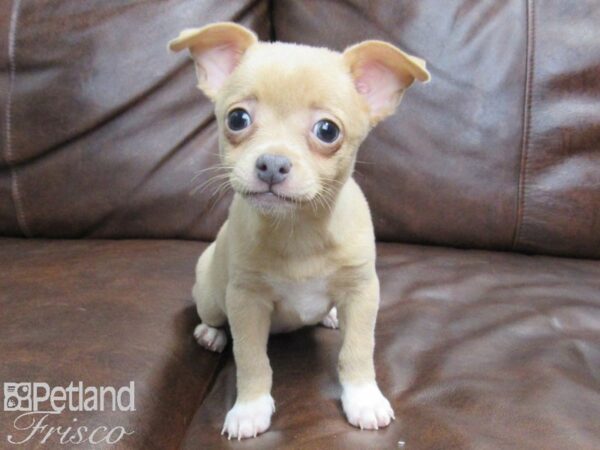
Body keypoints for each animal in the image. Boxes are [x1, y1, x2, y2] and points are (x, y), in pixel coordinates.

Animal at [169, 23, 432, 440]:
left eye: (327, 130)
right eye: (237, 119)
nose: (272, 164)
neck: (299, 229)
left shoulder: (362, 293)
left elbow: (358, 350)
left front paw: (363, 398)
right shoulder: (245, 302)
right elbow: (251, 358)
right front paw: (249, 408)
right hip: (210, 294)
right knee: (213, 317)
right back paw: (211, 334)